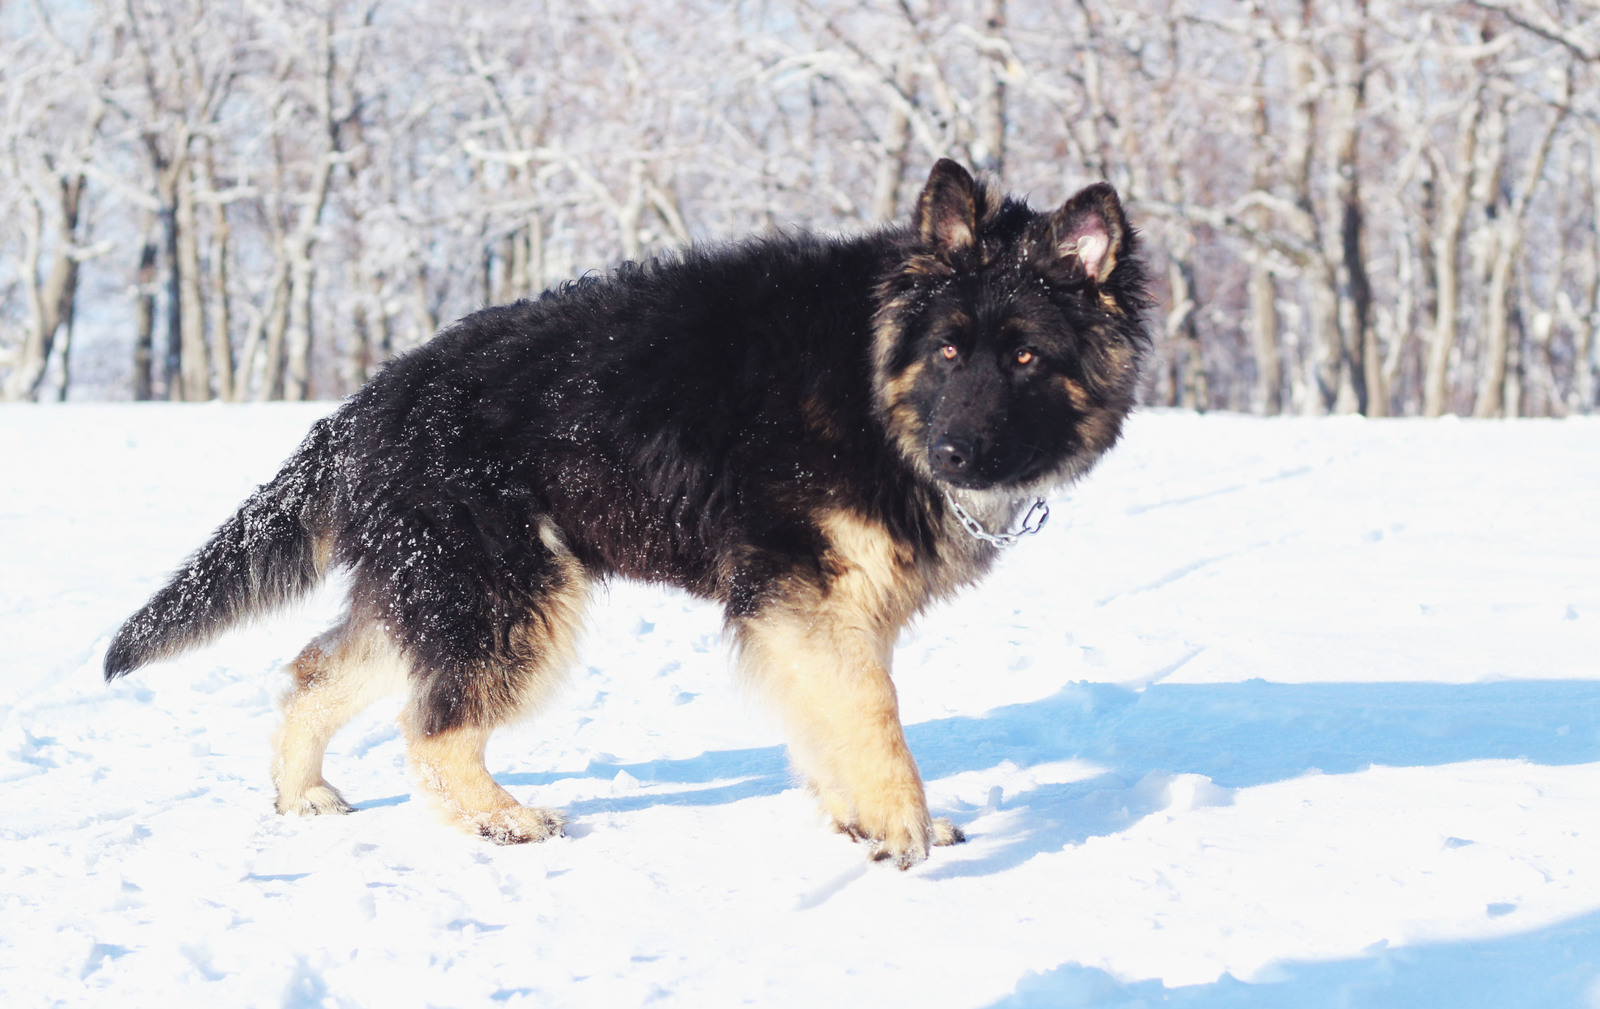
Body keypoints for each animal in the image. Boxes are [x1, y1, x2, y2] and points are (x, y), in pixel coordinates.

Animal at [103, 159, 1152, 869]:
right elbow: (874, 714)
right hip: (514, 601)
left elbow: (835, 719)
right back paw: (501, 816)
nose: (954, 456)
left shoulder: (822, 614)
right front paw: (900, 823)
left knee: (318, 670)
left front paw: (861, 816)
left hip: (436, 594)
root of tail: (371, 400)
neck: (864, 374)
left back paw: (304, 792)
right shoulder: (808, 599)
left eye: (1025, 357)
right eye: (948, 351)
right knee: (430, 728)